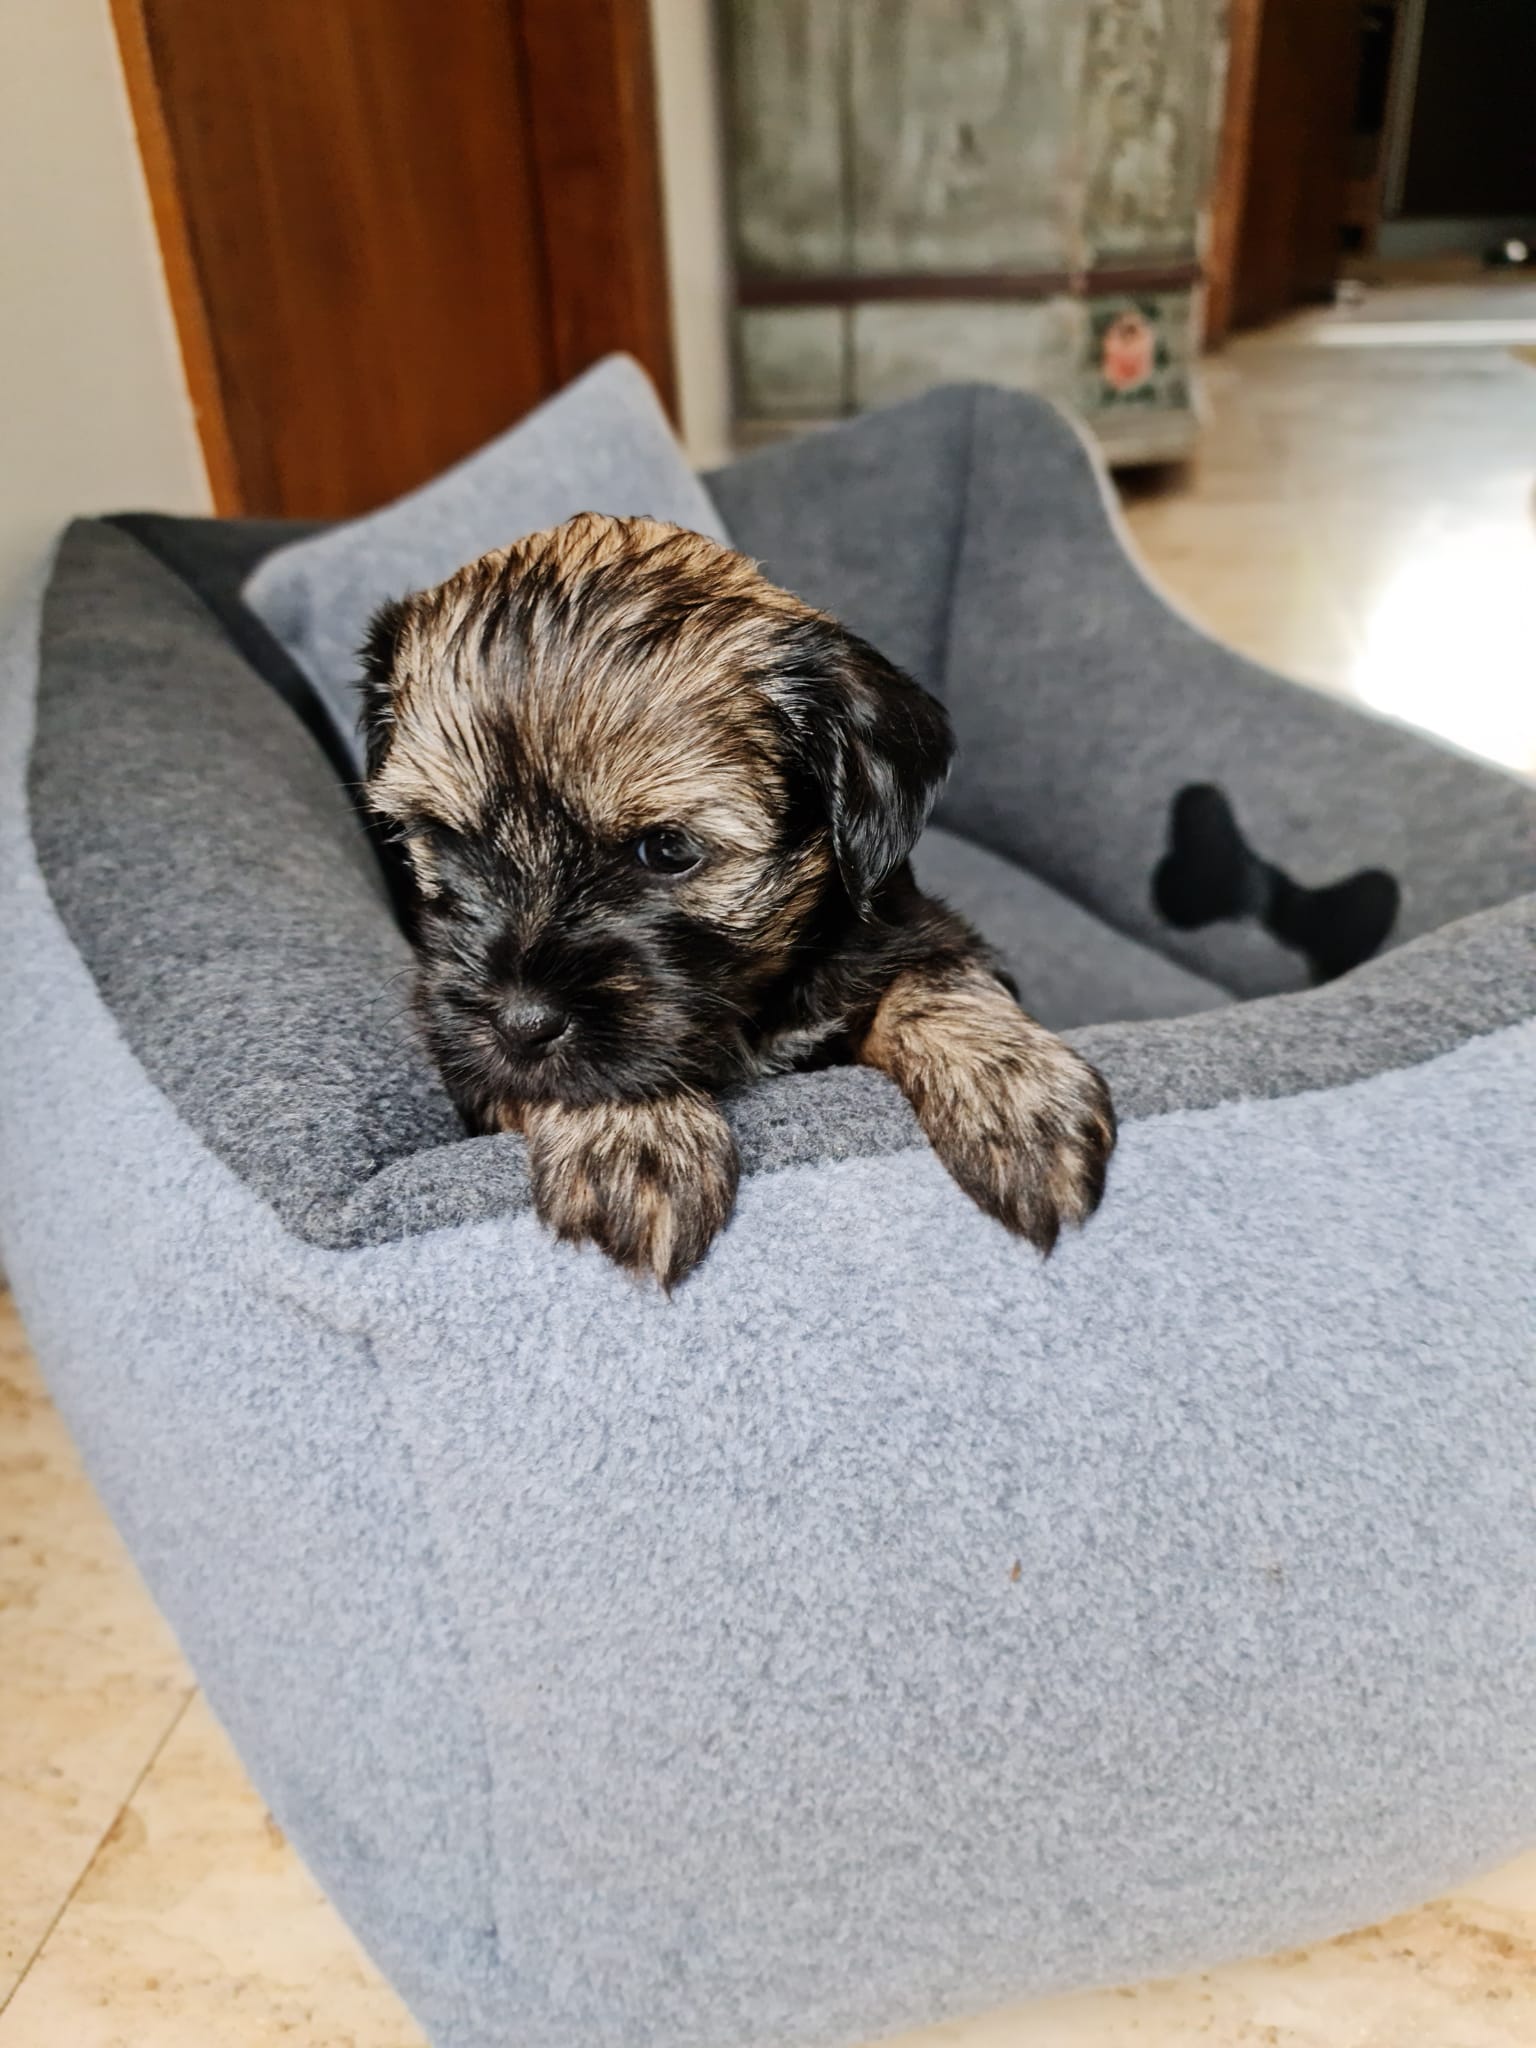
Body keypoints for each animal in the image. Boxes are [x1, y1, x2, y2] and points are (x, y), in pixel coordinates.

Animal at [360, 513, 1115, 1286]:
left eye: (667, 850)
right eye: (440, 835)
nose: (520, 1022)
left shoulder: (910, 925)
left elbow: (938, 978)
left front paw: (1016, 1092)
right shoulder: (471, 1066)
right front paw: (631, 1132)